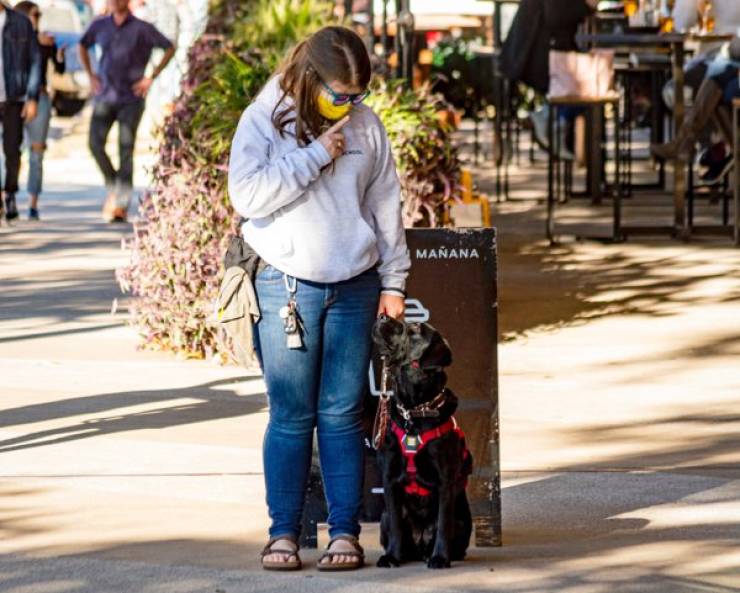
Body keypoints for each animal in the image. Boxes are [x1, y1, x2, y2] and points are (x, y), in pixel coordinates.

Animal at [370, 314, 474, 568]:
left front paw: (440, 558)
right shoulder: (389, 479)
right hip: (383, 518)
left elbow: (443, 524)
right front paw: (392, 556)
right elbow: (397, 525)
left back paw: (432, 554)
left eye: (415, 328)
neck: (414, 411)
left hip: (461, 521)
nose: (382, 315)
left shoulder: (446, 481)